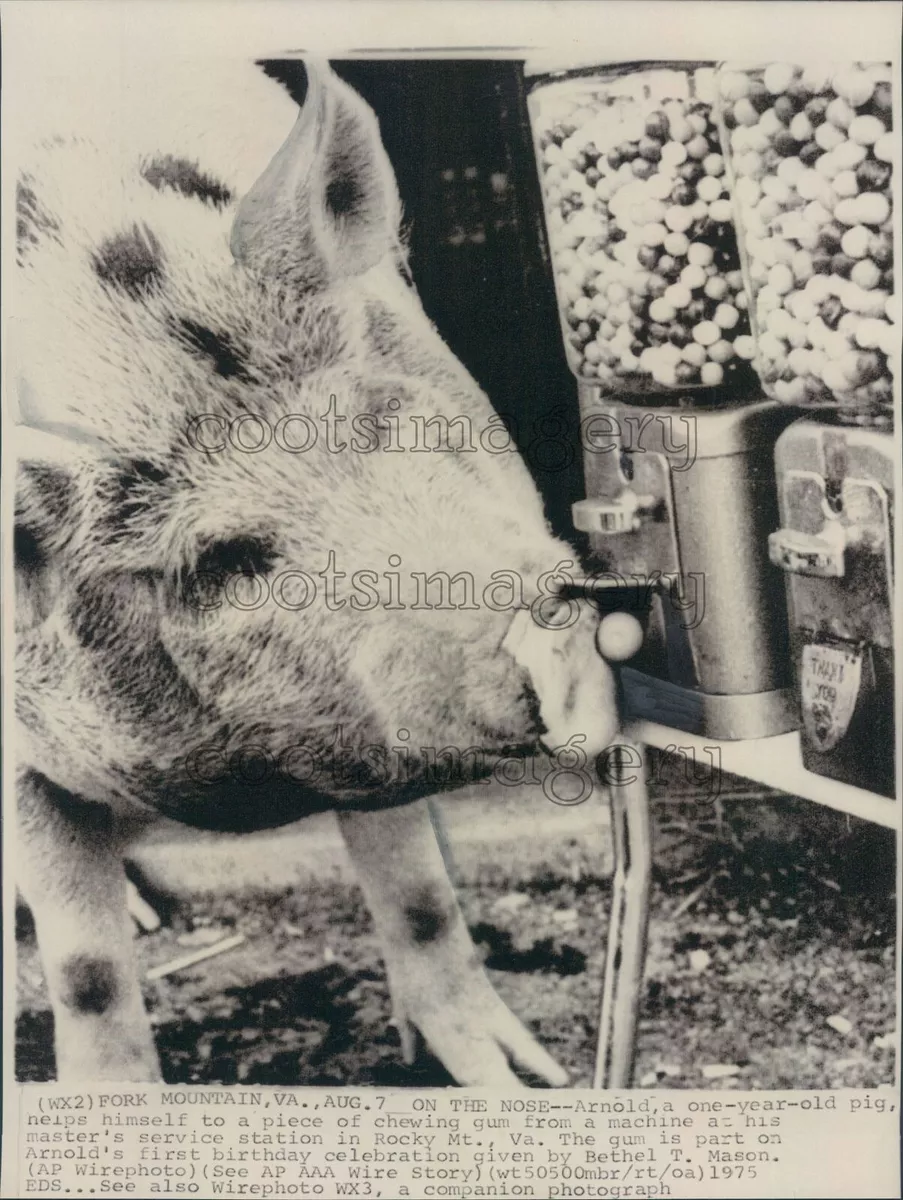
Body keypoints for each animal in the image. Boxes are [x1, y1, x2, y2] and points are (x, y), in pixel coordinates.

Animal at [14, 54, 624, 1089]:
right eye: (227, 558)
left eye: (385, 417)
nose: (526, 619)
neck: (255, 788)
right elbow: (88, 974)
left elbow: (418, 892)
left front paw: (519, 1078)